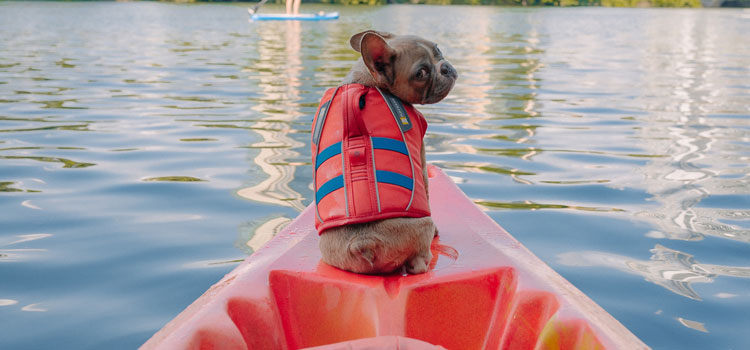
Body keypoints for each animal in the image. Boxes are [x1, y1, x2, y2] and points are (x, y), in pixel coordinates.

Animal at [312, 30, 458, 274]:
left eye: (438, 50)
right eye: (421, 73)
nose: (445, 67)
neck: (368, 81)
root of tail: (363, 242)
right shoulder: (420, 154)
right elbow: (427, 192)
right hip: (422, 225)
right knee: (418, 263)